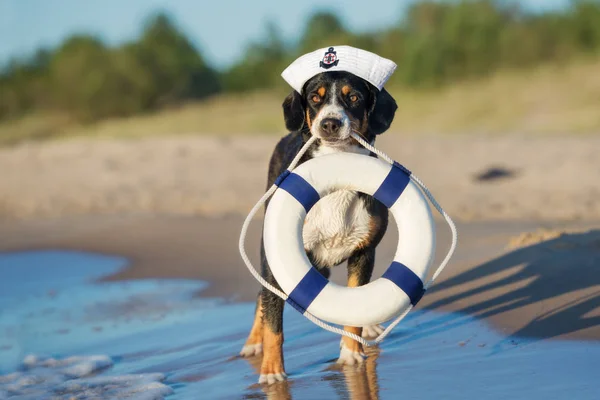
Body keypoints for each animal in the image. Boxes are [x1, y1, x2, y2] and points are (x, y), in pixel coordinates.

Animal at [239, 46, 398, 384]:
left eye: (354, 98)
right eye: (315, 98)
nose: (330, 123)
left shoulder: (364, 253)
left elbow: (355, 305)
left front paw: (351, 354)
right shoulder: (275, 261)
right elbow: (273, 323)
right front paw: (272, 372)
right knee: (262, 299)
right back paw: (252, 344)